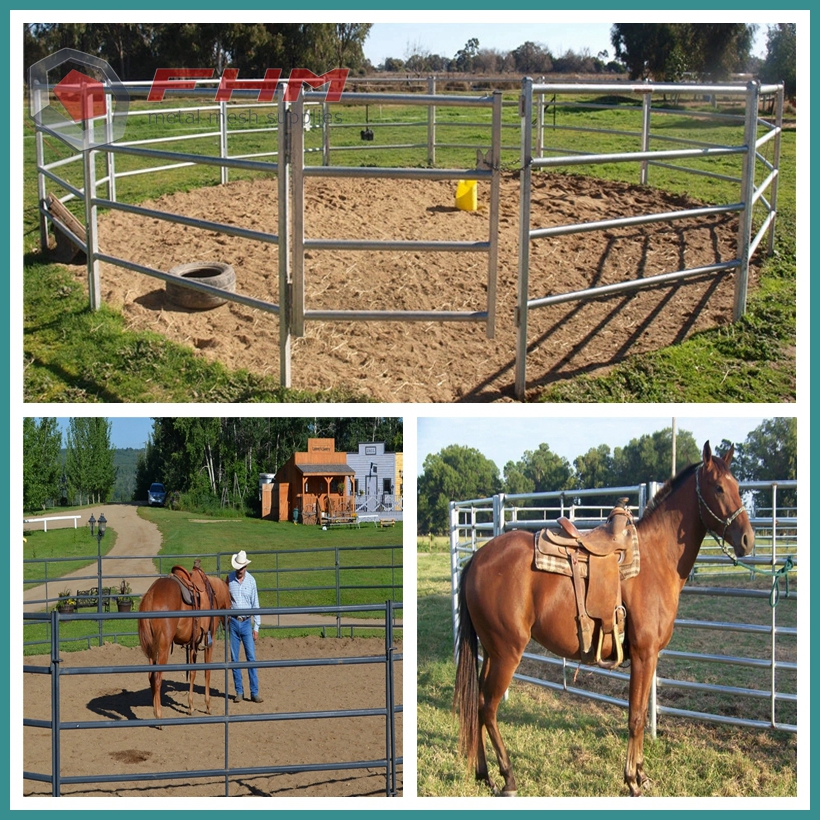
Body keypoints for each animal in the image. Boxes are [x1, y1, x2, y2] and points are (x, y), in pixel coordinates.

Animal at [139, 568, 231, 720]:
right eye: (231, 597)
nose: (229, 621)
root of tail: (151, 595)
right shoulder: (209, 641)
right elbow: (207, 671)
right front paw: (208, 706)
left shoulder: (193, 643)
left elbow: (192, 672)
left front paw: (191, 707)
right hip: (163, 647)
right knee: (157, 678)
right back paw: (159, 715)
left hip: (152, 649)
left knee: (150, 677)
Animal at [454, 442, 756, 796]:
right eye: (718, 487)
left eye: (737, 486)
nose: (748, 539)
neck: (655, 559)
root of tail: (477, 558)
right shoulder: (643, 654)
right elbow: (636, 717)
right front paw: (632, 780)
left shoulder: (649, 657)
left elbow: (641, 711)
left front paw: (641, 774)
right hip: (506, 653)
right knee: (488, 707)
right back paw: (508, 777)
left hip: (491, 651)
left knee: (477, 703)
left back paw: (483, 772)